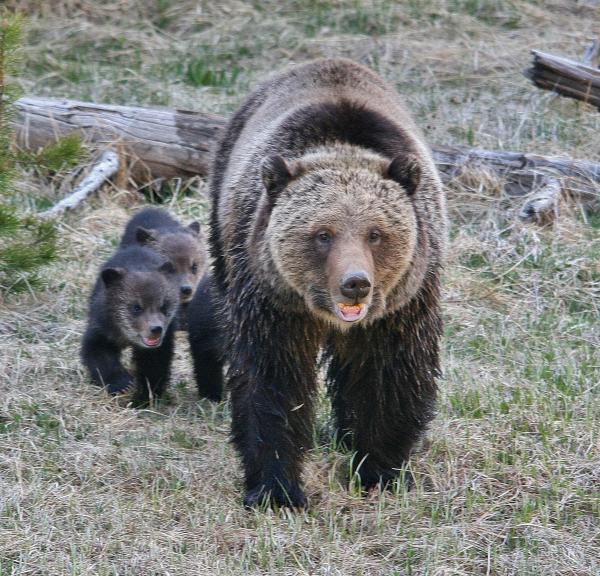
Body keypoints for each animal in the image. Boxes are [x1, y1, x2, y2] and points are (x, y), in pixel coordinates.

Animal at [82, 244, 180, 404]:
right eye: (136, 307)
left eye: (164, 305)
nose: (156, 329)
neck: (125, 335)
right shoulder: (102, 327)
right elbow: (98, 353)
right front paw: (122, 384)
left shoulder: (160, 344)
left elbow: (154, 366)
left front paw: (145, 395)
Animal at [209, 59, 448, 508]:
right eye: (323, 234)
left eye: (376, 233)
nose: (355, 283)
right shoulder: (271, 298)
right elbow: (272, 380)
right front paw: (276, 488)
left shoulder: (401, 305)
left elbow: (389, 376)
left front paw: (379, 471)